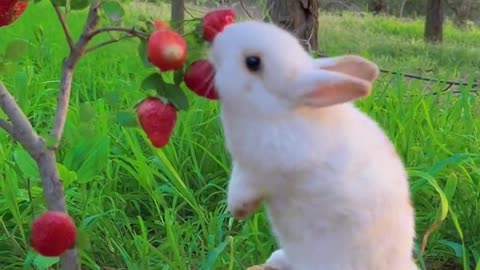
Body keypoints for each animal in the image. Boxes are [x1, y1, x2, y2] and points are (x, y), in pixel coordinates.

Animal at [208, 21, 418, 270]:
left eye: (252, 62)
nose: (218, 37)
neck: (276, 112)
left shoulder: (262, 173)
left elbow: (241, 191)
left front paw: (238, 210)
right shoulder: (243, 166)